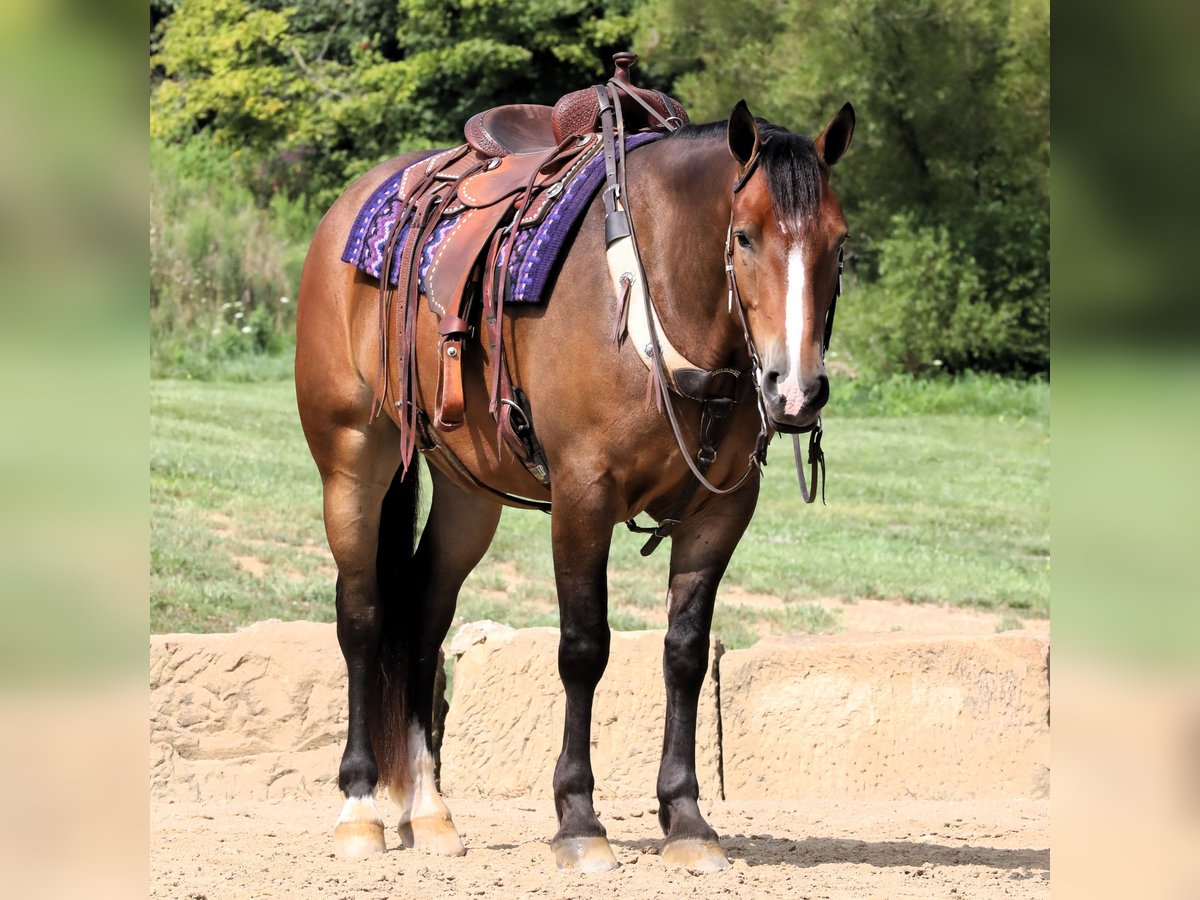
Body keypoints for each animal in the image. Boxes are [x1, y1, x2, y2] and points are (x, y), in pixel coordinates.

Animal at [291, 93, 854, 873]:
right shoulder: (584, 497)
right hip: (352, 459)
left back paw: (430, 811)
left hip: (467, 494)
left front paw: (686, 818)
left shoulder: (720, 512)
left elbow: (684, 653)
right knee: (363, 617)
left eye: (839, 242)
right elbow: (584, 648)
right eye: (744, 237)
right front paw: (579, 818)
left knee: (424, 617)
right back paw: (360, 809)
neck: (653, 293)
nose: (796, 389)